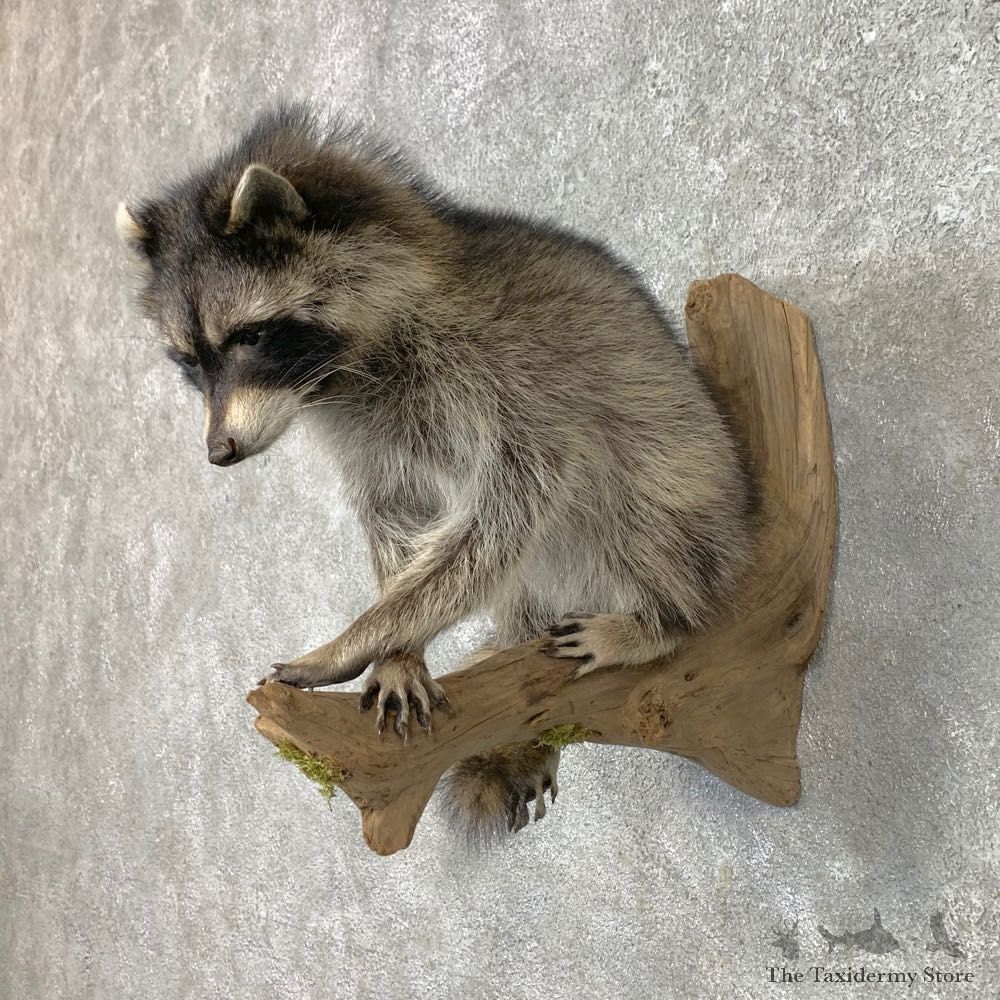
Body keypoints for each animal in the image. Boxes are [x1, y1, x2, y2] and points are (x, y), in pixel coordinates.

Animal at [117, 106, 755, 842]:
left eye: (250, 337)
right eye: (189, 361)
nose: (219, 452)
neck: (342, 373)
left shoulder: (506, 376)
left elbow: (505, 511)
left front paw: (370, 632)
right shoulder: (372, 437)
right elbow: (401, 514)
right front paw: (400, 648)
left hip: (684, 479)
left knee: (638, 514)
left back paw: (664, 618)